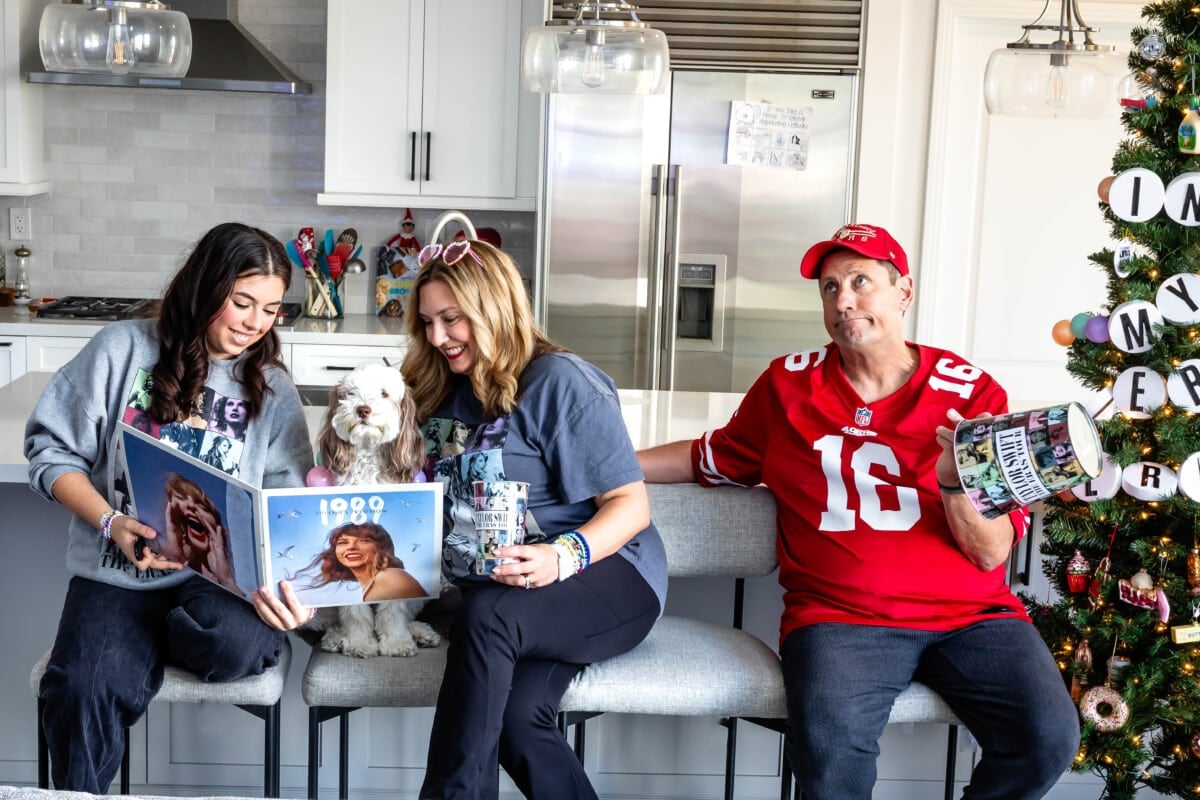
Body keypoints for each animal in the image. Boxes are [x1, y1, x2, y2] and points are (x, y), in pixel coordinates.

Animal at [307, 362, 444, 657]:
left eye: (384, 394)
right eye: (349, 393)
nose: (363, 409)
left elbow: (394, 608)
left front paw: (397, 642)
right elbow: (353, 612)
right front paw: (360, 642)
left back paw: (420, 632)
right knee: (327, 620)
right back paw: (336, 637)